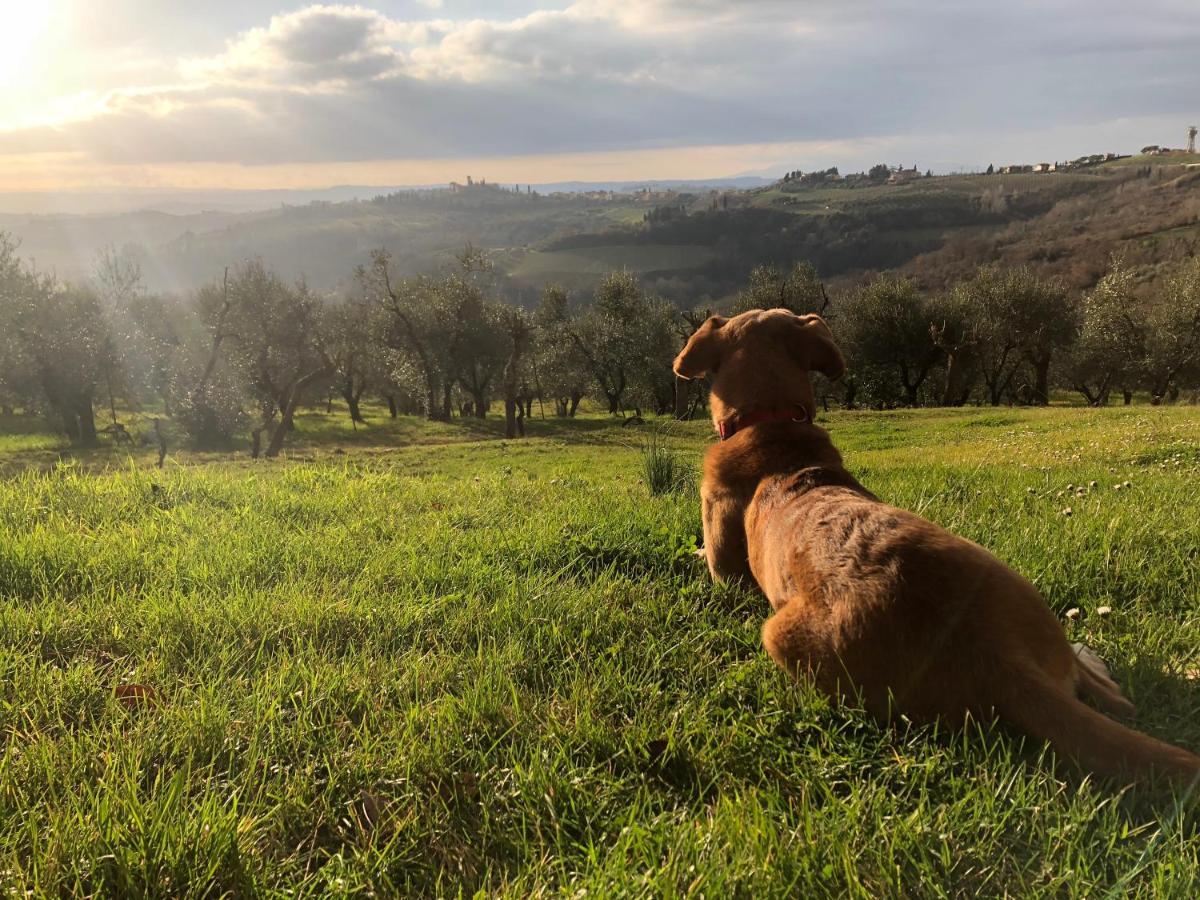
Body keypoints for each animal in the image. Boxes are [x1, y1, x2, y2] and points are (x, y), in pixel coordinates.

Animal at [676, 309, 1200, 782]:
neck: (772, 428)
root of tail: (997, 659)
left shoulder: (727, 573)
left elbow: (710, 562)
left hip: (780, 634)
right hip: (1010, 581)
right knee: (1109, 694)